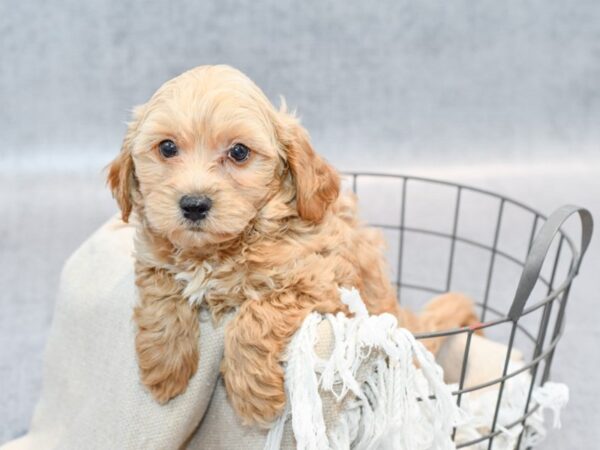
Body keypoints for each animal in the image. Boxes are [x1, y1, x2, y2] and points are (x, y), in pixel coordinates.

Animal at [105, 65, 476, 428]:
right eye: (167, 148)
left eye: (239, 152)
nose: (194, 205)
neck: (222, 249)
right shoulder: (153, 259)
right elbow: (161, 296)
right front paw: (165, 367)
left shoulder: (323, 283)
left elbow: (255, 316)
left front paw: (253, 395)